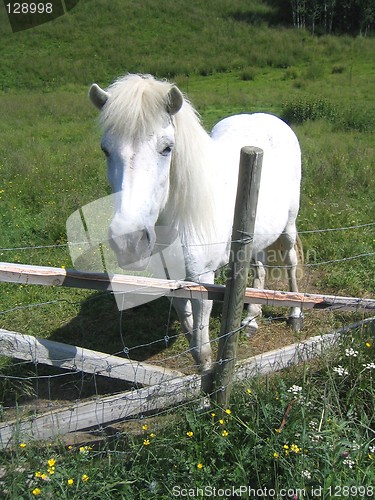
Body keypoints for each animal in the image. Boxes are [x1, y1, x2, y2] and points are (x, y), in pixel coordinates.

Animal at [89, 71, 304, 382]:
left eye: (167, 148)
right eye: (105, 149)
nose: (129, 242)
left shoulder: (202, 281)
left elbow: (202, 345)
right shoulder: (174, 281)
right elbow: (193, 342)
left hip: (288, 226)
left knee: (290, 262)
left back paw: (296, 314)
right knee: (260, 266)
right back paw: (251, 318)